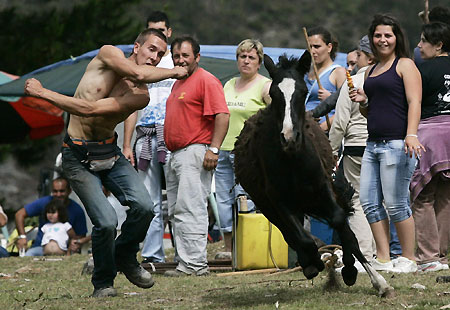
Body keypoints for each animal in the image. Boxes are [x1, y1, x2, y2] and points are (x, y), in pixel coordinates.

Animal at [234, 52, 392, 296]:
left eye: (302, 92)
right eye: (273, 93)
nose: (289, 137)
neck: (293, 159)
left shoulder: (323, 188)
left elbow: (340, 221)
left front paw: (364, 275)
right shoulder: (278, 201)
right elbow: (301, 237)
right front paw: (314, 261)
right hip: (272, 206)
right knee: (290, 233)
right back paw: (310, 262)